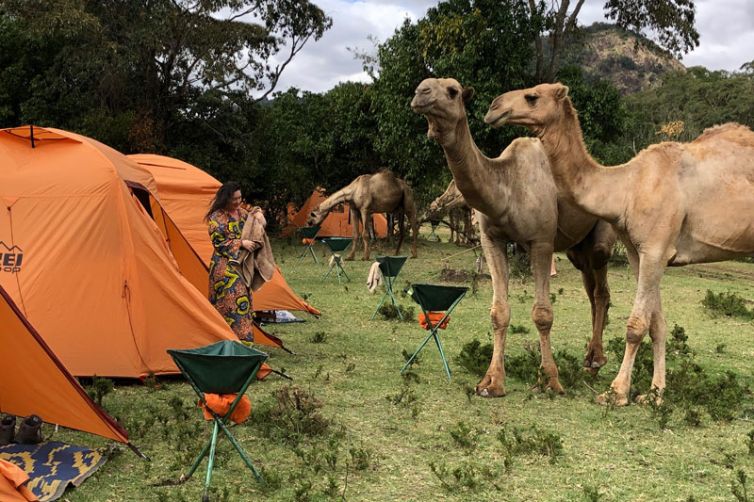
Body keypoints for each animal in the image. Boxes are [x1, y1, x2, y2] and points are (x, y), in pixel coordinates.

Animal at [411, 78, 617, 397]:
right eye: (423, 85)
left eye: (453, 91)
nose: (420, 93)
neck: (507, 186)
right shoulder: (491, 239)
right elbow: (499, 311)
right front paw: (491, 382)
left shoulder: (541, 241)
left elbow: (543, 313)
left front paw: (550, 380)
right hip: (576, 250)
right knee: (591, 290)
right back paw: (589, 361)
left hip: (599, 241)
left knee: (601, 291)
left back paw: (595, 360)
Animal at [484, 82, 754, 405]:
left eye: (532, 97)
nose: (494, 107)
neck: (626, 186)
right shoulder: (640, 251)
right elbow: (657, 325)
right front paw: (654, 394)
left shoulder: (656, 247)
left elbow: (636, 326)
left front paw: (616, 392)